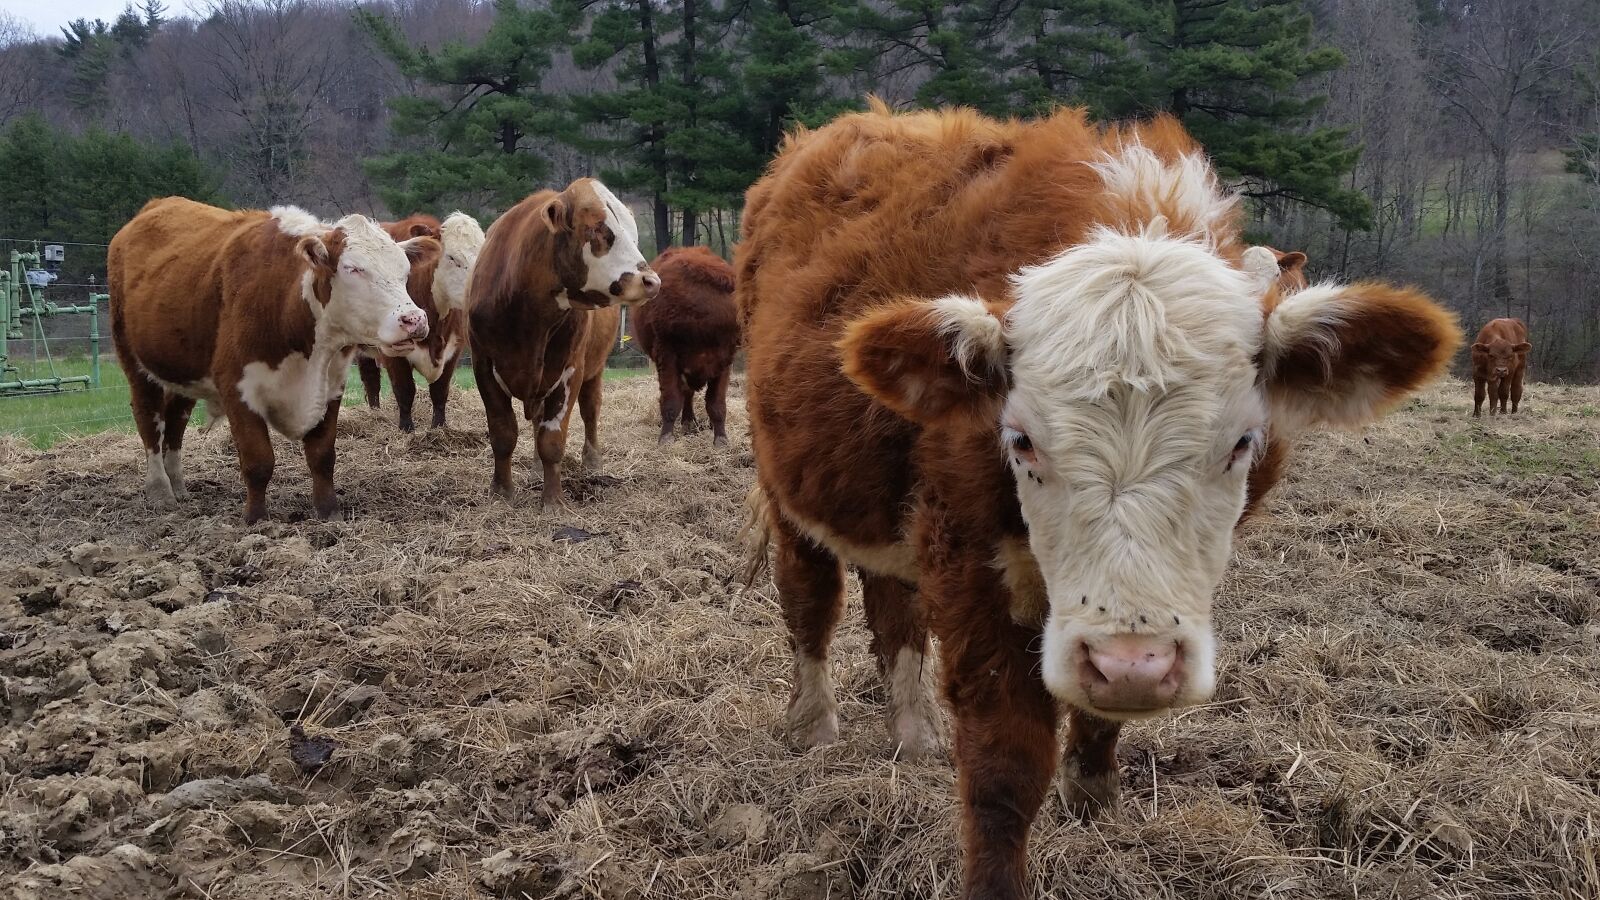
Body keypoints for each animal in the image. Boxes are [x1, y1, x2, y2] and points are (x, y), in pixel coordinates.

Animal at [108, 197, 439, 523]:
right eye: (353, 268)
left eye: (404, 271)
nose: (414, 320)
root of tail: (155, 205)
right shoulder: (238, 388)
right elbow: (258, 460)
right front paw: (256, 519)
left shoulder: (331, 385)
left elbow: (322, 456)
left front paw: (329, 512)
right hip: (135, 362)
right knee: (148, 420)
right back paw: (160, 491)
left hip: (182, 371)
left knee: (176, 422)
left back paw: (178, 487)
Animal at [358, 212, 486, 431]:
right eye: (452, 257)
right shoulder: (393, 353)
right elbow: (405, 390)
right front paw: (406, 428)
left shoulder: (453, 350)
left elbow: (440, 390)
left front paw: (439, 428)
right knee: (371, 379)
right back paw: (375, 415)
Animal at [468, 177, 659, 508]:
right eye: (598, 228)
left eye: (632, 234)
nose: (651, 281)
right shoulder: (483, 366)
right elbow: (503, 434)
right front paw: (502, 491)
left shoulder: (570, 371)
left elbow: (552, 440)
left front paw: (553, 500)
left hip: (594, 370)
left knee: (590, 411)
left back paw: (592, 461)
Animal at [631, 245, 739, 447]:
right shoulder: (667, 356)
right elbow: (671, 401)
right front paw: (666, 438)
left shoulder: (724, 360)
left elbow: (716, 404)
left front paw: (721, 439)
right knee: (685, 394)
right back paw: (688, 422)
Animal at [735, 104, 1460, 899]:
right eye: (1019, 440)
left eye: (1243, 441)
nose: (1132, 664)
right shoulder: (966, 558)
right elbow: (1003, 766)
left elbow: (1097, 717)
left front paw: (1092, 794)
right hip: (786, 491)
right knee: (810, 601)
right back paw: (813, 728)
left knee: (893, 611)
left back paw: (914, 734)